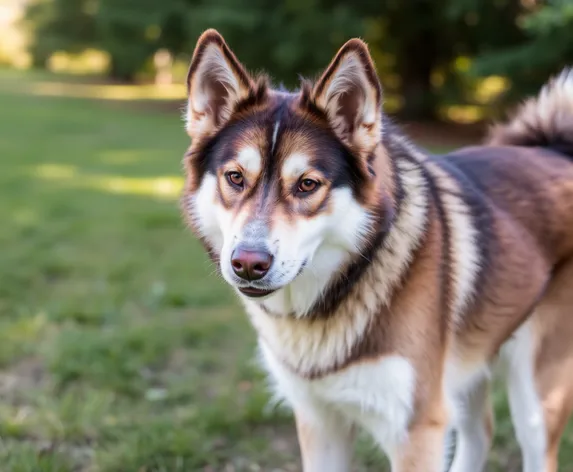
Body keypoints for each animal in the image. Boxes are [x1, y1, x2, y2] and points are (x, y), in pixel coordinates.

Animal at [181, 29, 572, 472]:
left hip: (536, 398)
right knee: (481, 431)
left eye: (307, 184)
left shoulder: (417, 430)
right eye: (235, 177)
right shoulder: (319, 422)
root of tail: (556, 150)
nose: (248, 263)